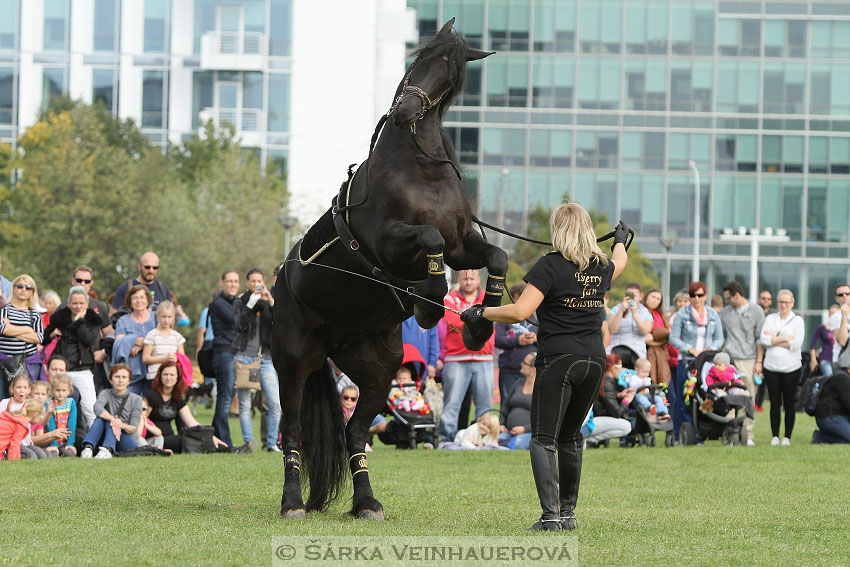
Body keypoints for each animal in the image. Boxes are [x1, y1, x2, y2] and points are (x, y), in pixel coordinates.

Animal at [274, 20, 506, 520]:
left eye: (451, 68)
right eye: (419, 58)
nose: (405, 111)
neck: (420, 169)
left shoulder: (463, 247)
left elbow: (496, 256)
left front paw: (481, 321)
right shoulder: (391, 243)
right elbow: (430, 242)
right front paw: (432, 305)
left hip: (378, 371)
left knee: (356, 432)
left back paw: (366, 502)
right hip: (294, 360)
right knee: (294, 431)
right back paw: (292, 503)